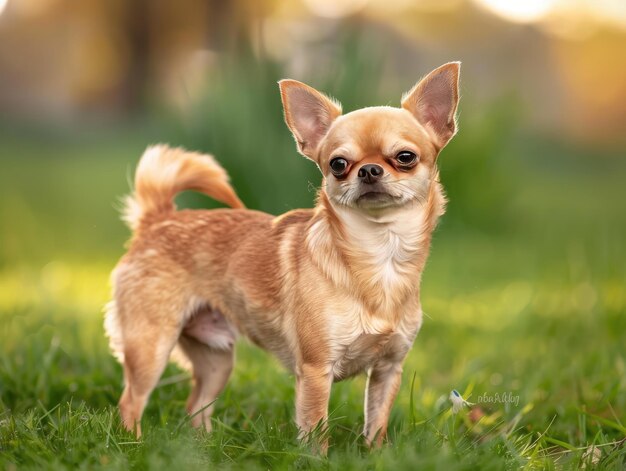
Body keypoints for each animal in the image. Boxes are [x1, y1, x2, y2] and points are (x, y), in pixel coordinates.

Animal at [103, 61, 458, 446]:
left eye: (405, 157)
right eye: (338, 164)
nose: (368, 170)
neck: (380, 253)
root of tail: (158, 219)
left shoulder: (387, 370)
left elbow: (376, 425)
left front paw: (377, 454)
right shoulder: (316, 372)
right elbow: (316, 431)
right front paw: (316, 456)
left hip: (216, 359)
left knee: (196, 406)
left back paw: (204, 447)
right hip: (151, 346)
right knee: (131, 401)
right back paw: (134, 444)